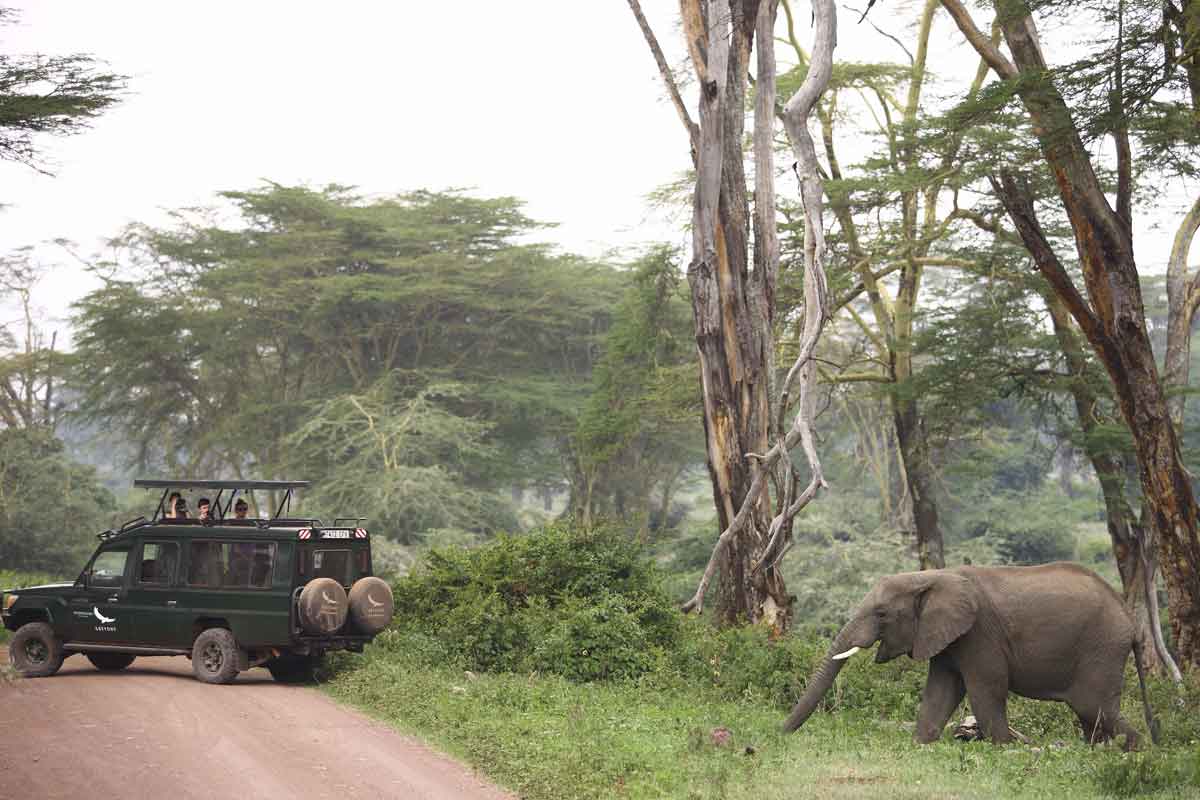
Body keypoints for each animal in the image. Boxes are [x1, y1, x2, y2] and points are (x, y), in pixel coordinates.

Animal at [782, 563, 1156, 753]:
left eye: (882, 613)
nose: (779, 733)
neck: (930, 576)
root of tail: (1130, 620)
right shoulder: (947, 636)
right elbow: (941, 690)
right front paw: (921, 745)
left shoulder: (980, 633)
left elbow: (986, 689)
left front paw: (1004, 750)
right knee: (1092, 716)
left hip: (1101, 648)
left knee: (1094, 708)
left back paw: (1136, 753)